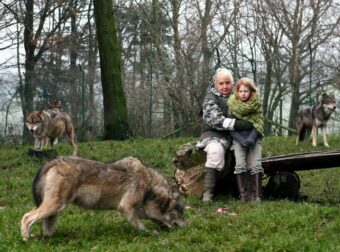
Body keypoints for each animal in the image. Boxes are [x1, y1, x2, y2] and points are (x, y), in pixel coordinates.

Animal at [20, 156, 186, 240]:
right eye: (180, 211)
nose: (187, 226)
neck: (149, 182)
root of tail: (52, 161)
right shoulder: (125, 207)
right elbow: (140, 225)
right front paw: (149, 233)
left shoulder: (135, 209)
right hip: (56, 206)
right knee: (26, 217)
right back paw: (27, 240)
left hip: (52, 210)